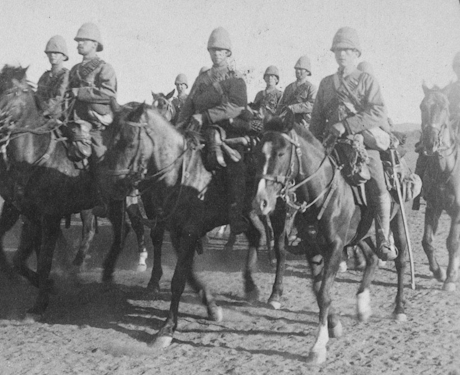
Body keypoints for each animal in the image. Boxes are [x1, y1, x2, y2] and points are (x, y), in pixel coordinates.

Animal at [0, 65, 129, 318]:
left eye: (11, 91)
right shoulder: (29, 216)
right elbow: (21, 260)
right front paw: (49, 286)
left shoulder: (49, 218)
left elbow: (44, 260)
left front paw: (39, 305)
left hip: (116, 202)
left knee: (120, 232)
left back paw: (103, 272)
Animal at [102, 103, 264, 350]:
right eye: (108, 139)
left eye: (129, 143)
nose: (112, 186)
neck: (179, 174)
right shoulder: (178, 233)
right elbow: (188, 274)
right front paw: (212, 308)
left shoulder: (188, 233)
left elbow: (179, 279)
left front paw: (167, 329)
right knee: (255, 236)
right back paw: (250, 287)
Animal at [252, 119, 410, 366]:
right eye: (258, 153)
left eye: (280, 153)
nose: (261, 202)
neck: (322, 190)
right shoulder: (312, 247)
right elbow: (319, 290)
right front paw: (334, 324)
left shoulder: (335, 247)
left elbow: (324, 293)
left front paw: (318, 347)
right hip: (360, 234)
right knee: (372, 258)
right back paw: (362, 306)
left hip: (396, 222)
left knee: (400, 261)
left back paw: (399, 308)